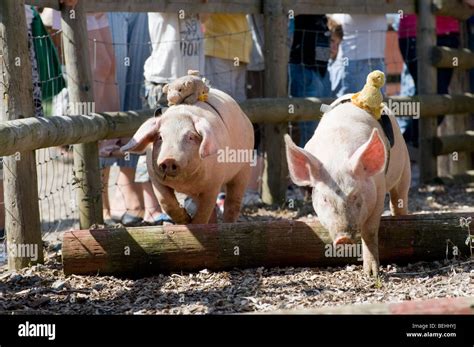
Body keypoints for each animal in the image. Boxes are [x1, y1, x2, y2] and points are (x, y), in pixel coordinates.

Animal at [122, 88, 256, 226]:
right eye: (160, 137)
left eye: (190, 137)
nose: (169, 159)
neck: (183, 183)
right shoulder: (155, 178)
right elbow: (166, 202)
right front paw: (186, 221)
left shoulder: (214, 184)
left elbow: (204, 211)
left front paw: (194, 224)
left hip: (244, 168)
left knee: (233, 202)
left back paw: (228, 224)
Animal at [286, 95, 412, 278]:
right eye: (325, 199)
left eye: (355, 195)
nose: (343, 239)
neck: (337, 157)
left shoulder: (379, 189)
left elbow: (369, 231)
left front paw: (371, 274)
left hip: (404, 168)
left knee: (399, 199)